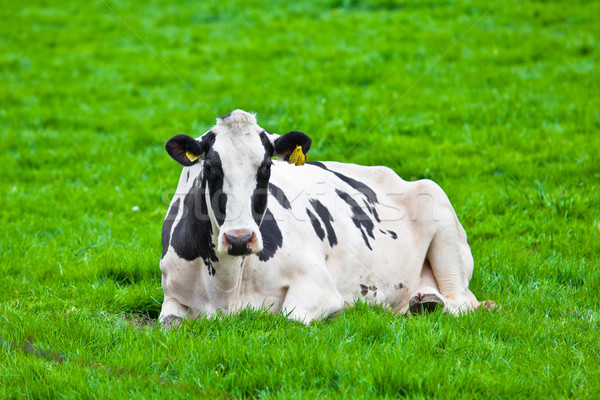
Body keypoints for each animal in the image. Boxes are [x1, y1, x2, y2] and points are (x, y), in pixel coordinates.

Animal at [158, 110, 488, 328]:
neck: (226, 286)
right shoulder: (172, 295)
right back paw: (422, 301)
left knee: (464, 301)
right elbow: (169, 324)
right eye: (210, 168)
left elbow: (292, 318)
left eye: (266, 167)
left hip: (440, 210)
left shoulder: (318, 284)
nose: (240, 239)